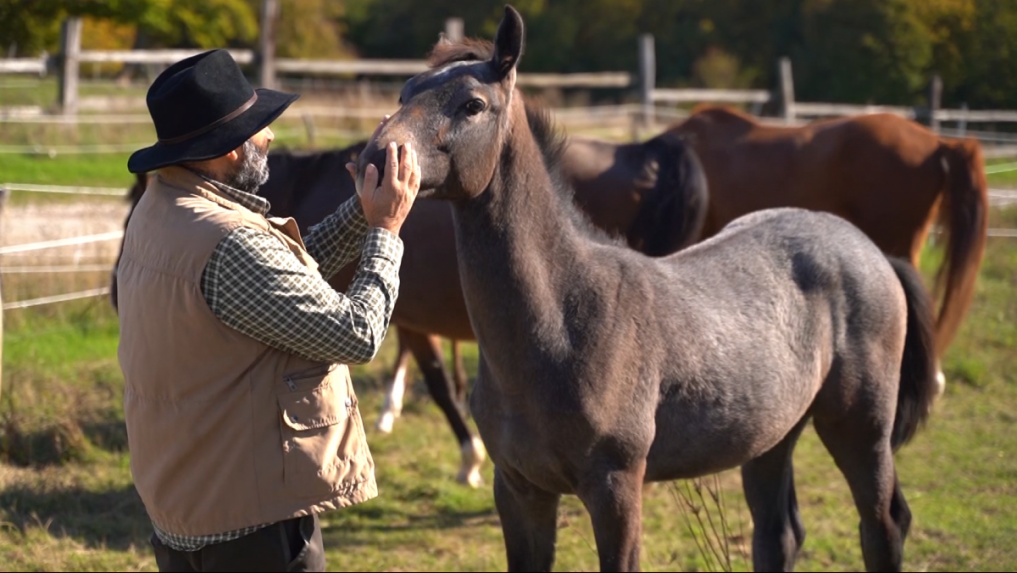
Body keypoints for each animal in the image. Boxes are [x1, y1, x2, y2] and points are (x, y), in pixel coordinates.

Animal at [355, 6, 935, 569]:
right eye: (405, 92)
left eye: (472, 104)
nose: (376, 160)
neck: (563, 320)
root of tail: (873, 251)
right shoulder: (519, 491)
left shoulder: (615, 490)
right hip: (771, 436)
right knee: (780, 535)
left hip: (859, 428)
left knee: (884, 524)